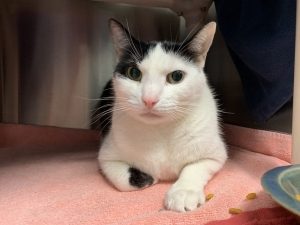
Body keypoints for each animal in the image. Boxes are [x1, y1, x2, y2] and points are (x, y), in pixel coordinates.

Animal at [96, 18, 227, 212]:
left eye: (176, 76)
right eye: (133, 73)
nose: (149, 99)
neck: (160, 130)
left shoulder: (215, 155)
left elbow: (194, 168)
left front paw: (183, 192)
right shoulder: (106, 156)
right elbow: (122, 180)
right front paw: (148, 178)